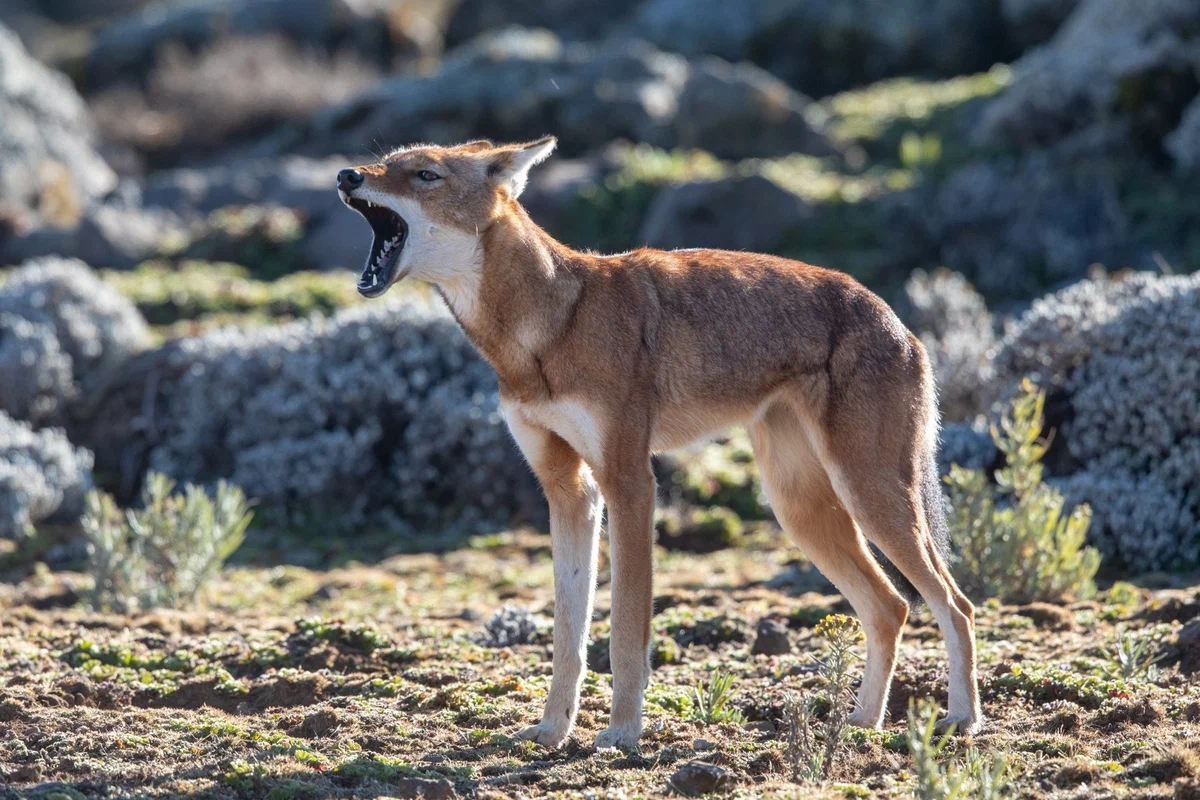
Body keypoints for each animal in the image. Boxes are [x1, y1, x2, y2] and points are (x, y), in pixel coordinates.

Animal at [333, 139, 979, 753]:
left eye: (425, 175)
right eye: (386, 162)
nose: (346, 176)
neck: (549, 326)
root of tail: (896, 317)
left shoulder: (630, 483)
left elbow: (624, 630)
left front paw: (622, 733)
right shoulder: (569, 492)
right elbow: (568, 635)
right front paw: (551, 730)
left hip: (868, 497)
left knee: (954, 604)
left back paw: (962, 720)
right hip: (802, 510)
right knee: (891, 607)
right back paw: (864, 723)